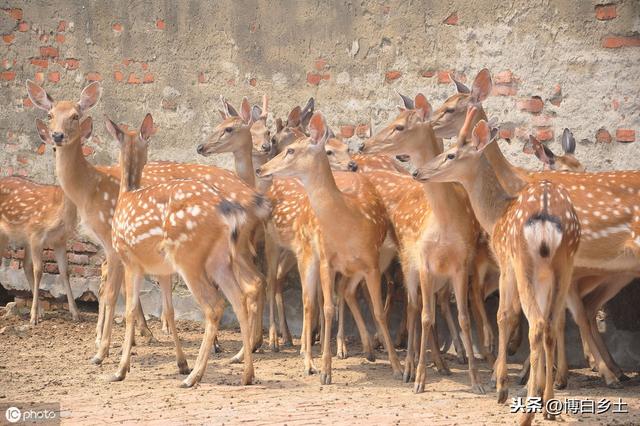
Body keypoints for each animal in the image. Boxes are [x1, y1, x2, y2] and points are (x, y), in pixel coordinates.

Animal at [0, 176, 80, 322]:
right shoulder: (36, 234)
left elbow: (65, 271)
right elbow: (38, 271)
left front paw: (75, 313)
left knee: (25, 265)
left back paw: (41, 311)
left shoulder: (60, 240)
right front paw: (33, 317)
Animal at [254, 112, 400, 382]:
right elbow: (327, 306)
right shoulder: (326, 260)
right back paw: (296, 352)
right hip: (283, 246)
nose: (262, 168)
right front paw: (325, 369)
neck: (349, 222)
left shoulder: (372, 262)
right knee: (298, 294)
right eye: (330, 151)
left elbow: (378, 311)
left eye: (291, 150)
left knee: (342, 292)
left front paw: (397, 367)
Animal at [412, 111, 584, 424]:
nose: (417, 173)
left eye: (451, 154)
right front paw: (539, 395)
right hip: (564, 263)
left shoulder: (506, 263)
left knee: (536, 324)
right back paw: (547, 404)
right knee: (551, 323)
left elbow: (504, 315)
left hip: (524, 261)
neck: (495, 216)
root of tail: (547, 218)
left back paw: (526, 411)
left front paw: (501, 385)